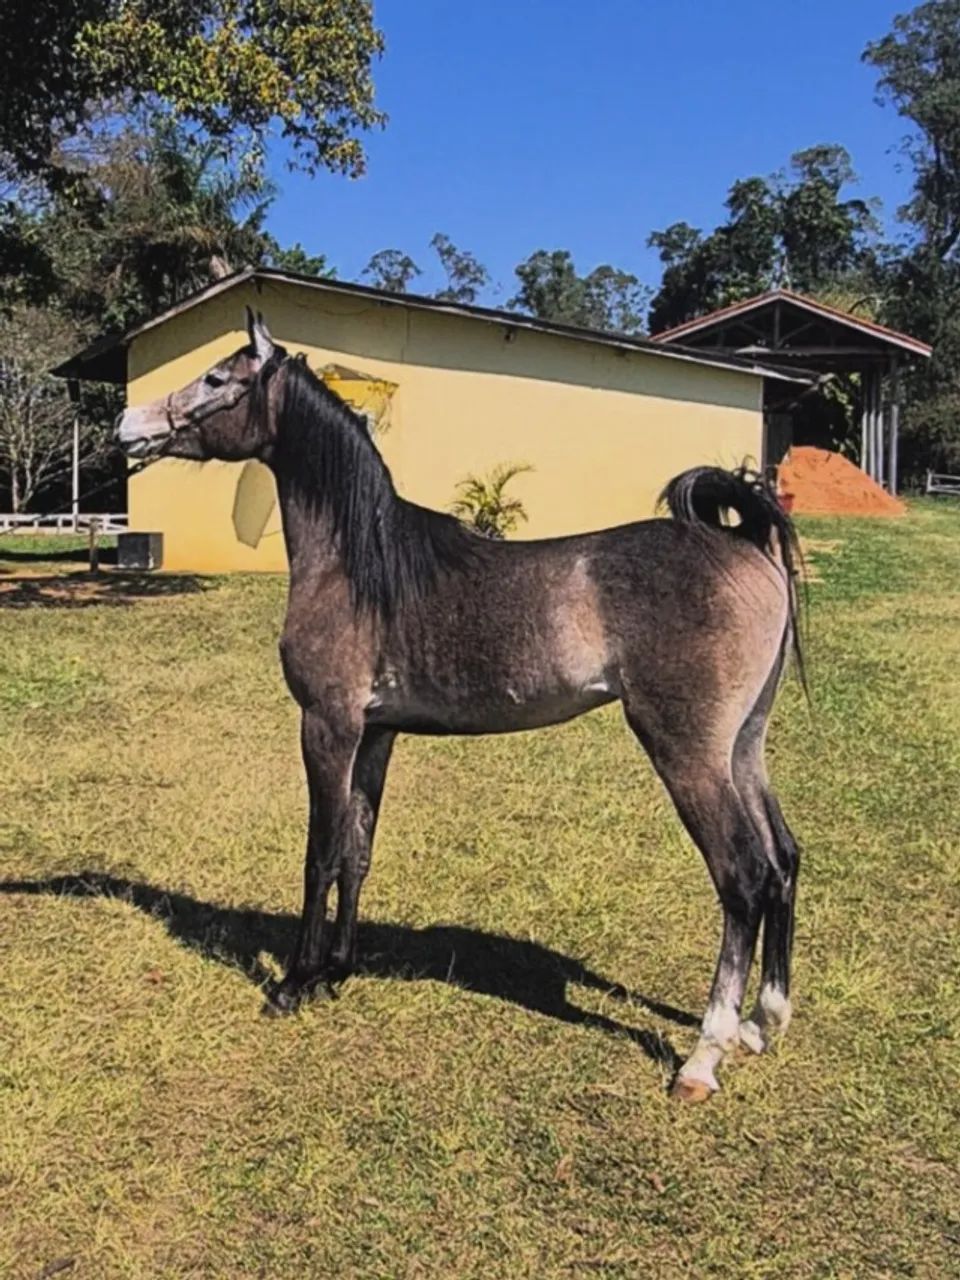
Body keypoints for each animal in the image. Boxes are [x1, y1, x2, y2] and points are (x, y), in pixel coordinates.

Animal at [117, 309, 804, 1102]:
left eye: (216, 378)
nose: (128, 424)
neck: (361, 565)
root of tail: (743, 543)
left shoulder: (327, 728)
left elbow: (319, 854)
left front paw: (294, 983)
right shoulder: (376, 734)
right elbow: (357, 851)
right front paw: (337, 972)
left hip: (688, 754)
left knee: (743, 877)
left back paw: (704, 1055)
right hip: (743, 748)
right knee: (783, 860)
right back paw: (764, 1022)